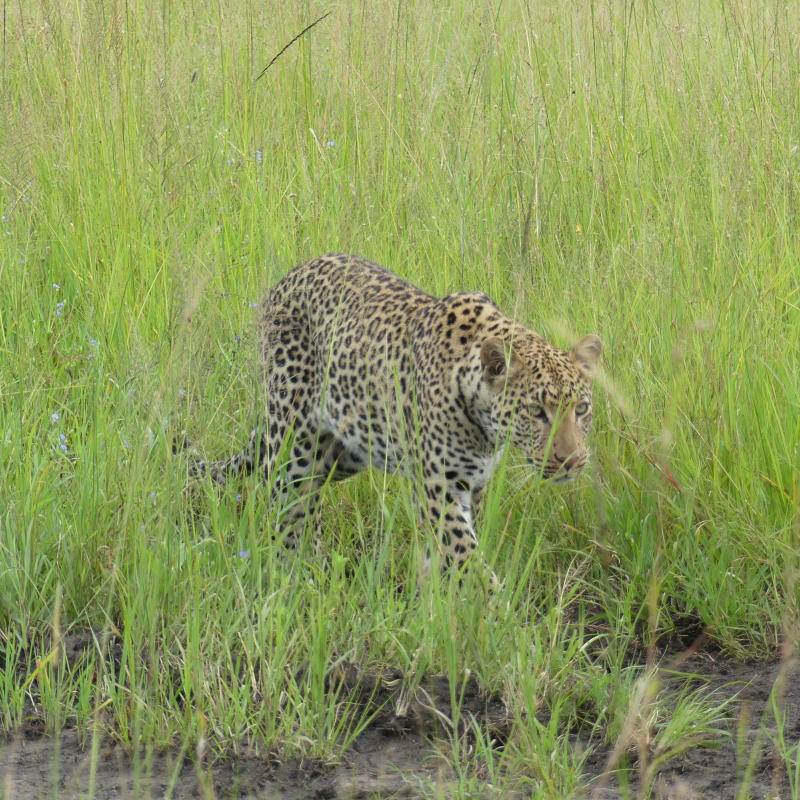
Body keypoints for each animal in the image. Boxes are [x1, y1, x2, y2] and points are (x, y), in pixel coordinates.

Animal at [188, 253, 600, 580]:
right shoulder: (441, 491)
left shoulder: (474, 488)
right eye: (536, 412)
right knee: (286, 507)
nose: (573, 461)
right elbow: (468, 560)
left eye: (581, 409)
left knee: (307, 500)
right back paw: (301, 576)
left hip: (345, 451)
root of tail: (289, 276)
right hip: (294, 442)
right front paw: (498, 618)